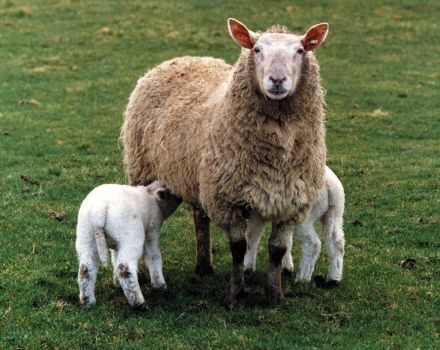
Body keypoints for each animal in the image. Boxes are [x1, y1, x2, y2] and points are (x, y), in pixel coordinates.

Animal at [75, 180, 180, 308]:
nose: (182, 197)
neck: (152, 196)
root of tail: (99, 211)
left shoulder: (117, 244)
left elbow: (114, 258)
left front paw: (116, 282)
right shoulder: (153, 229)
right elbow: (153, 256)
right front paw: (160, 285)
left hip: (86, 234)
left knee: (86, 268)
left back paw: (88, 302)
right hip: (131, 235)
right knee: (124, 268)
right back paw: (138, 303)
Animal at [122, 18, 328, 308]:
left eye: (300, 51)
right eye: (257, 50)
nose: (277, 80)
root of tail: (185, 58)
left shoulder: (289, 200)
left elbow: (277, 250)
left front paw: (275, 295)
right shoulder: (228, 199)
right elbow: (238, 249)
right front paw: (236, 296)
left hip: (199, 176)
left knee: (200, 217)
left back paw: (204, 266)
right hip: (144, 170)